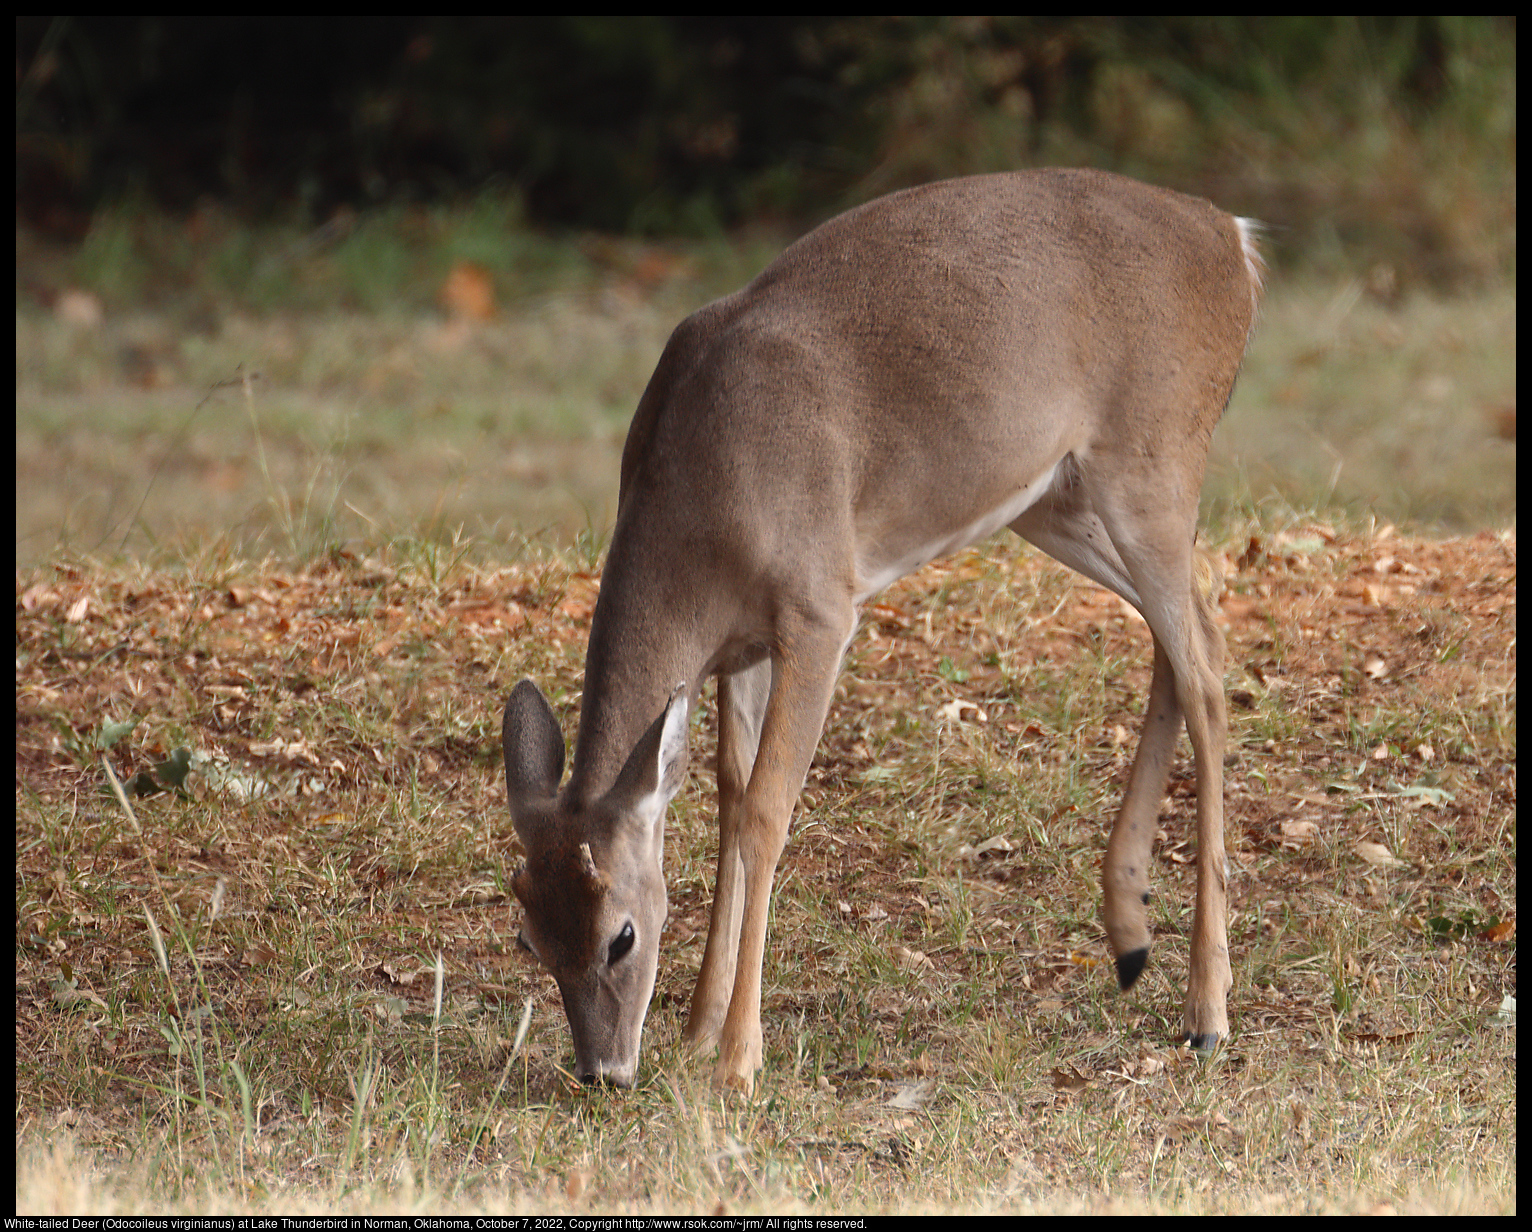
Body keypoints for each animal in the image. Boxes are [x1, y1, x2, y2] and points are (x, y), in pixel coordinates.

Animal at [502, 166, 1256, 1084]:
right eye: (531, 939)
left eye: (622, 936)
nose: (603, 1072)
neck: (703, 508)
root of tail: (1232, 238)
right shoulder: (740, 647)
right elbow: (728, 797)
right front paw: (700, 1028)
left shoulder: (820, 606)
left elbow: (767, 810)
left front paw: (738, 1060)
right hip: (1057, 497)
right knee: (1186, 632)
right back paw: (1130, 934)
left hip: (1155, 455)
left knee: (1208, 668)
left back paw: (1208, 1010)